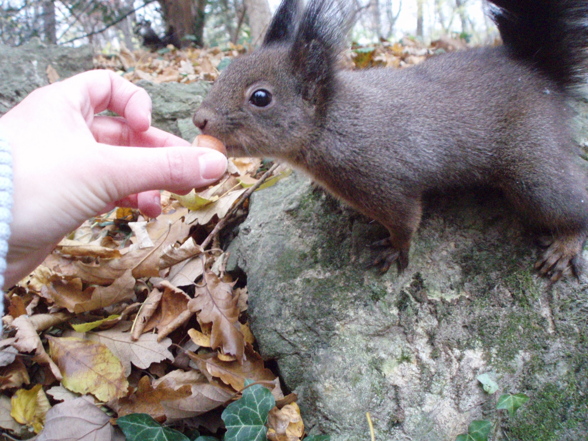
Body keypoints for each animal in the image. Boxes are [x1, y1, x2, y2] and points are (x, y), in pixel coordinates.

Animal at [195, 0, 588, 280]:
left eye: (261, 97)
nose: (200, 119)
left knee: (572, 201)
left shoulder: (385, 182)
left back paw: (565, 246)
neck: (332, 123)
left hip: (532, 172)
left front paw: (395, 249)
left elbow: (406, 220)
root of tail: (541, 75)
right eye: (225, 72)